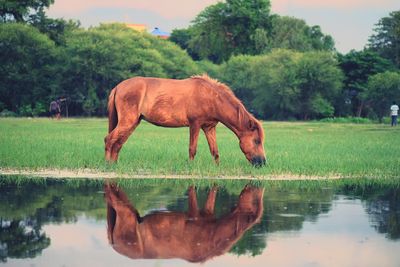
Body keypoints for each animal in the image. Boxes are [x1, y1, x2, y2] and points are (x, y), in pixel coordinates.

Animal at [104, 75, 266, 166]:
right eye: (257, 141)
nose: (262, 162)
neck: (212, 98)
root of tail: (118, 87)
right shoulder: (195, 124)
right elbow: (192, 149)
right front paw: (190, 166)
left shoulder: (209, 127)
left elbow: (215, 151)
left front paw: (217, 168)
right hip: (127, 122)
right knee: (109, 140)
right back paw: (108, 165)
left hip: (133, 123)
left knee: (118, 143)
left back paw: (114, 164)